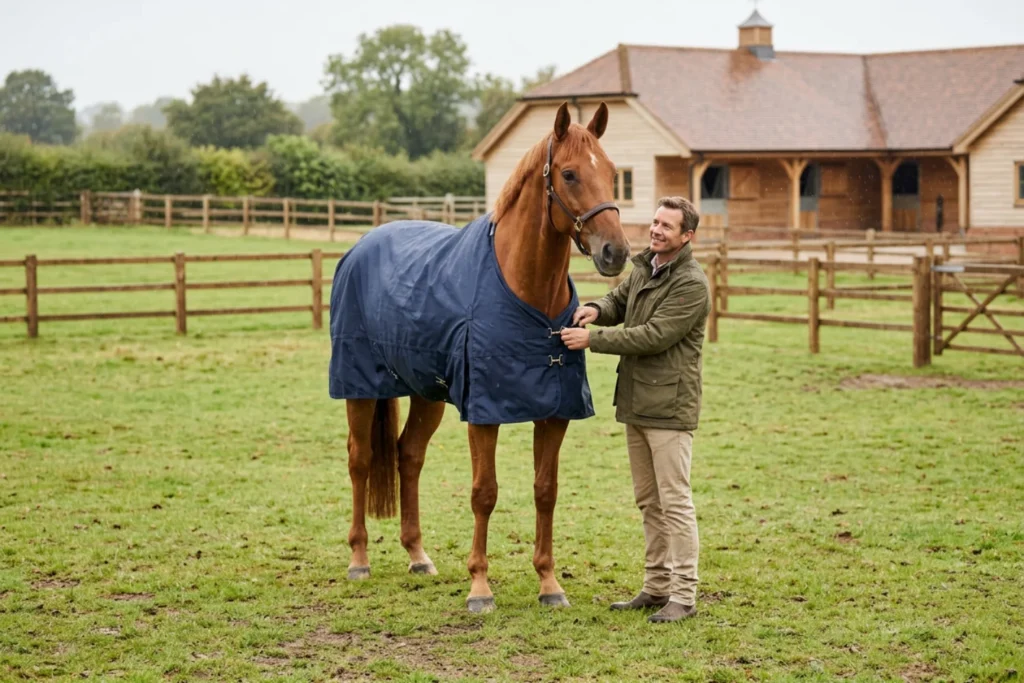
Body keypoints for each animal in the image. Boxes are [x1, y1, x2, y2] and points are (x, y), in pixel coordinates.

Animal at [329, 101, 630, 613]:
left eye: (612, 173)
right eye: (569, 174)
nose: (616, 252)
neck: (525, 289)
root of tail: (361, 246)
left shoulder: (555, 413)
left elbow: (545, 491)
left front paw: (549, 583)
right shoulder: (484, 413)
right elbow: (484, 493)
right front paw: (480, 588)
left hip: (426, 394)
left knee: (409, 456)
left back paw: (417, 555)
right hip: (359, 387)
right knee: (361, 459)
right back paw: (359, 559)